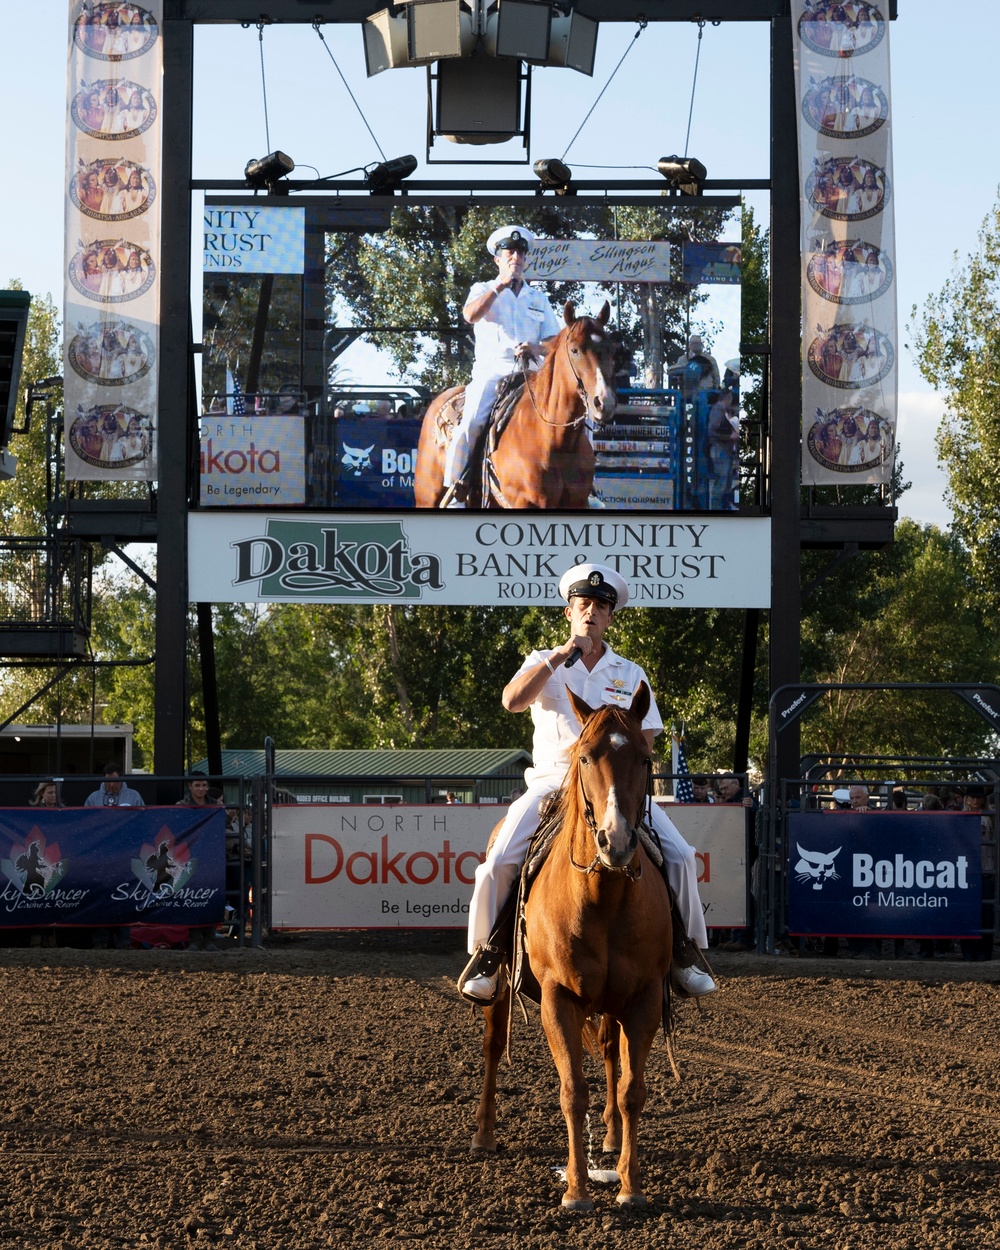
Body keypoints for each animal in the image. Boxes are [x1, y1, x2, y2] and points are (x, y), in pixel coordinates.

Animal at [415, 301, 617, 507]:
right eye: (574, 350)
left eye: (610, 350)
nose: (604, 402)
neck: (554, 440)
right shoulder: (524, 502)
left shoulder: (577, 502)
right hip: (427, 498)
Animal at [470, 685, 670, 1210]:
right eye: (584, 756)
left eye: (645, 758)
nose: (616, 841)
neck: (602, 898)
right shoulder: (559, 998)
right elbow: (572, 1092)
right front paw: (577, 1189)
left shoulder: (642, 998)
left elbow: (632, 1090)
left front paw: (631, 1186)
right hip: (502, 988)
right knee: (493, 1045)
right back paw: (483, 1134)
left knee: (610, 1053)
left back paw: (612, 1137)